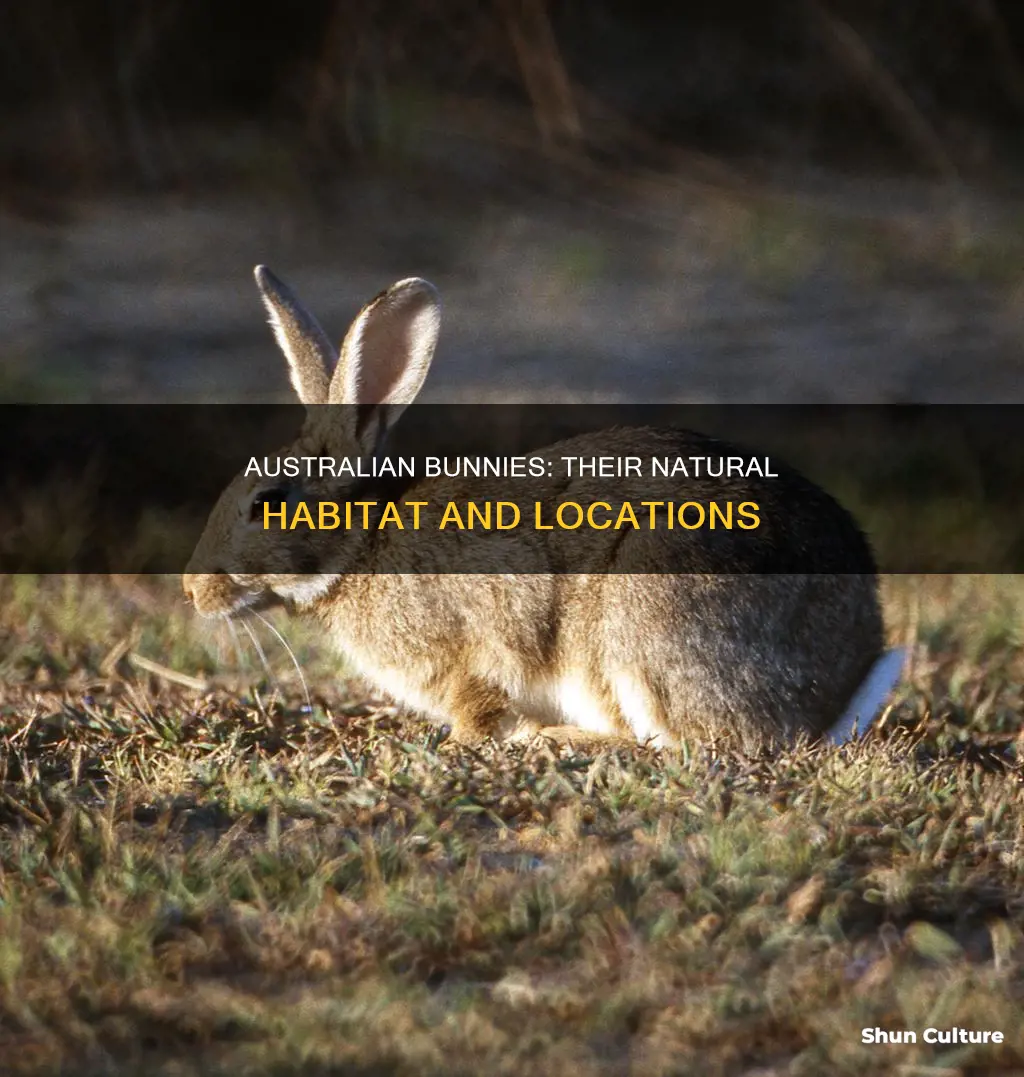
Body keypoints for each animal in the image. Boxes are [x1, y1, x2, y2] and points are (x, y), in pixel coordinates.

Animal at [183, 266, 904, 752]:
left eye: (267, 503)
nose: (193, 588)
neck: (361, 545)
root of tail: (838, 682)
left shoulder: (472, 658)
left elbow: (479, 710)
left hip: (647, 617)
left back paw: (560, 740)